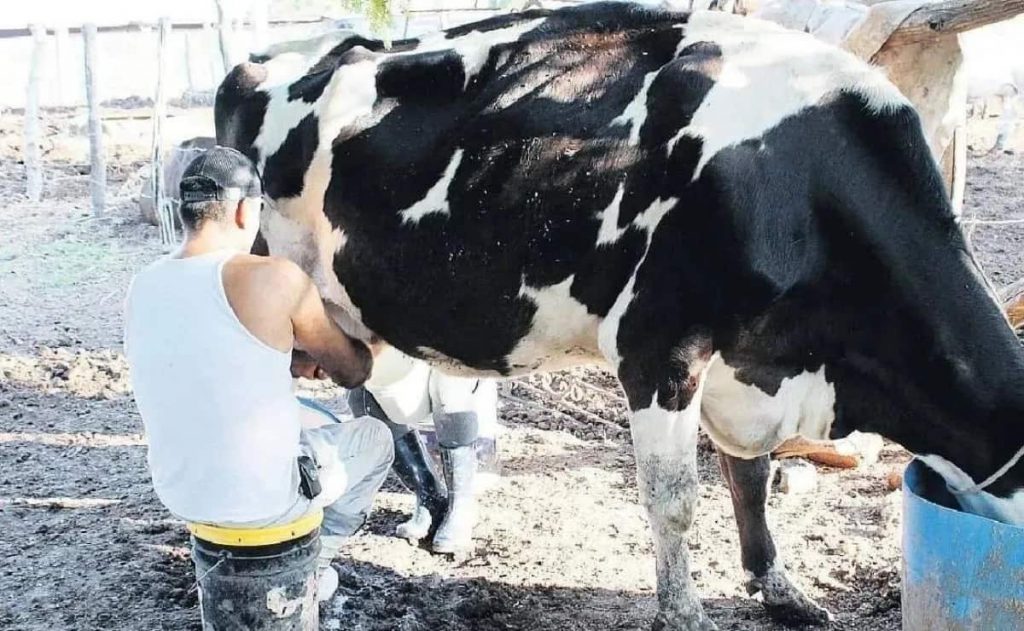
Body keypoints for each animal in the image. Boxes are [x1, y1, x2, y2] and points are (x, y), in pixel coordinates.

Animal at [214, 3, 1024, 626]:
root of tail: (263, 61)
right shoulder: (657, 346)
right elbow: (675, 499)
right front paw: (684, 612)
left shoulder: (746, 365)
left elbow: (751, 478)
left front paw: (778, 586)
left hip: (354, 315)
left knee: (380, 407)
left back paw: (435, 510)